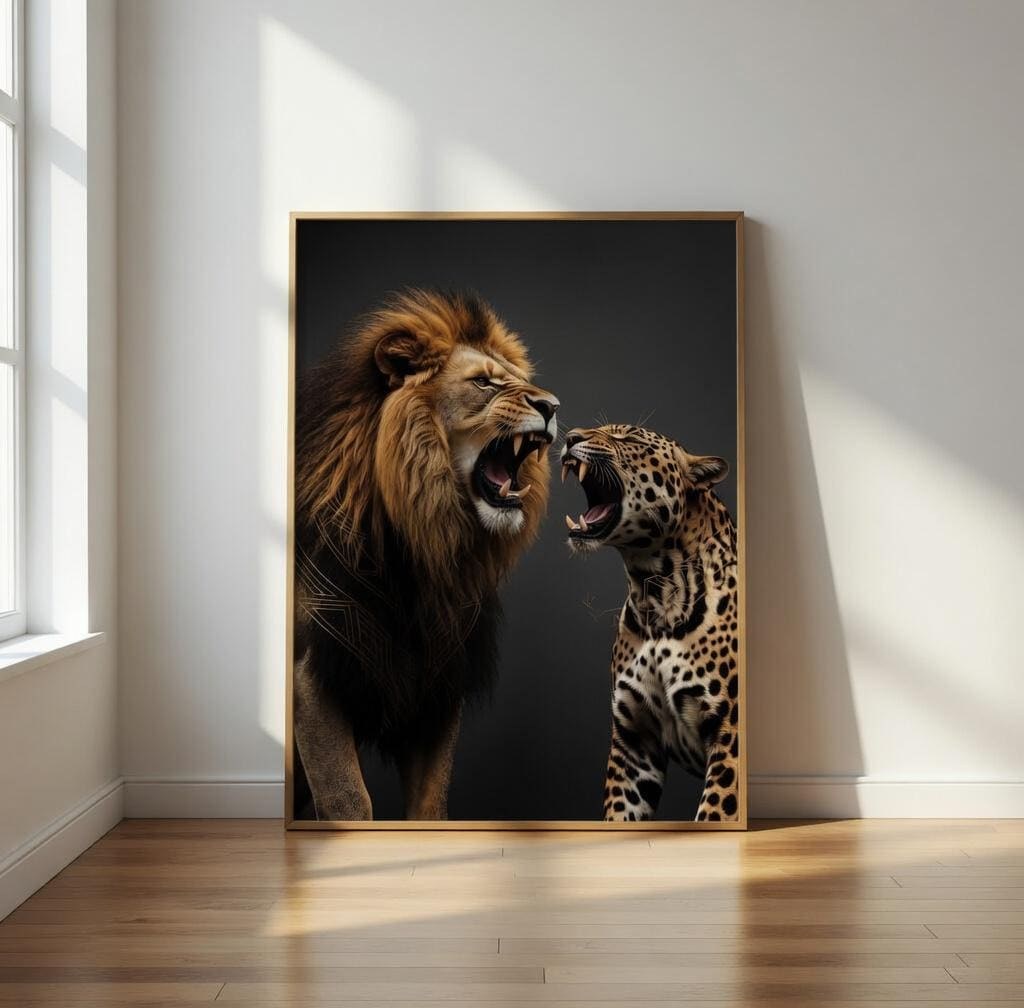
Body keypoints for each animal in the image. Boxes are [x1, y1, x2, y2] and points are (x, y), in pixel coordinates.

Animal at [293, 289, 558, 820]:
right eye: (483, 382)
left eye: (521, 382)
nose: (553, 406)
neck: (419, 548)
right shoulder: (314, 678)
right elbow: (349, 800)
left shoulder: (436, 681)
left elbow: (431, 804)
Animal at [561, 423, 740, 823]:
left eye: (627, 439)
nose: (569, 436)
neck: (656, 592)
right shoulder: (634, 741)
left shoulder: (730, 734)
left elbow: (715, 813)